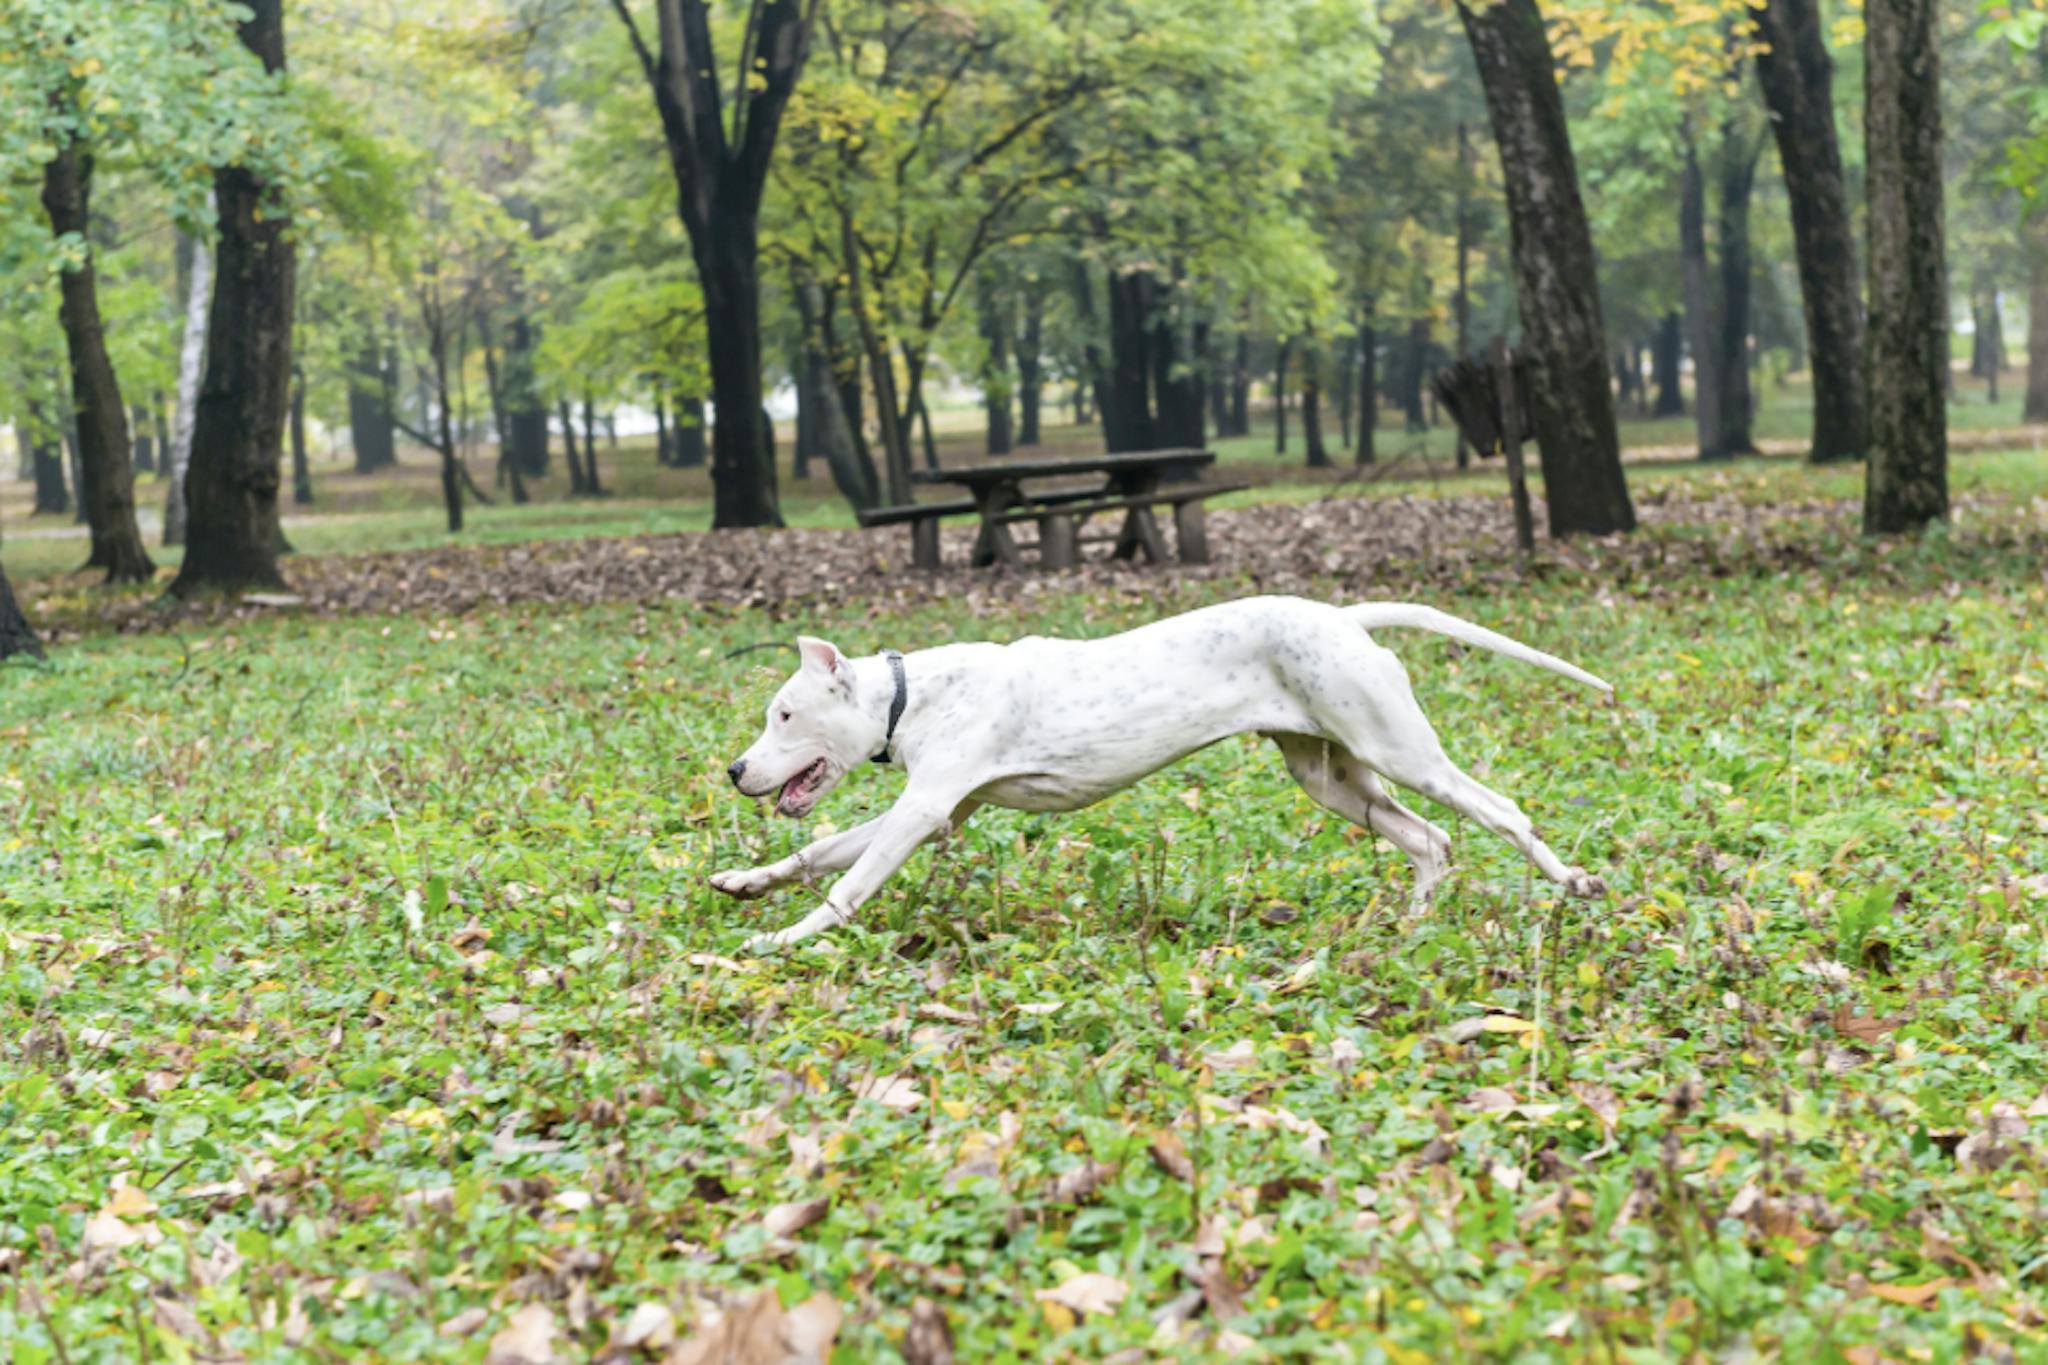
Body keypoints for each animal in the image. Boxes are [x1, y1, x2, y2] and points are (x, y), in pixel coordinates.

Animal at [712, 597, 1605, 949]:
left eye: (783, 714)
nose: (734, 768)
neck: (911, 695)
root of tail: (1342, 617)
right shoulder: (942, 811)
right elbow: (816, 852)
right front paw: (745, 883)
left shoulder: (922, 810)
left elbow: (845, 883)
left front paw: (781, 940)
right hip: (1335, 778)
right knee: (1429, 841)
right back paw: (1408, 925)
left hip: (1398, 750)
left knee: (1499, 809)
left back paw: (1574, 880)